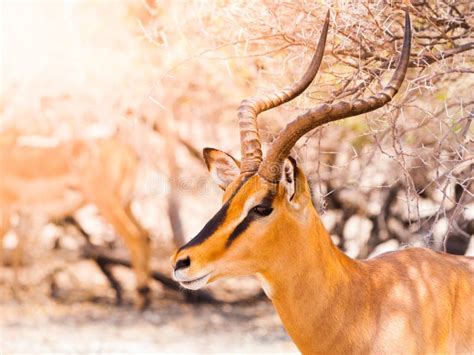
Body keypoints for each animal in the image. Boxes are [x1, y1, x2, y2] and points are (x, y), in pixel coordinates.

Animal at [0, 131, 151, 308]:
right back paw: (146, 295)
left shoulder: (7, 211)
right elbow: (20, 249)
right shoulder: (26, 214)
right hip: (126, 203)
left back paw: (140, 300)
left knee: (135, 237)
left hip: (107, 203)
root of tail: (128, 154)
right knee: (145, 234)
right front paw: (18, 293)